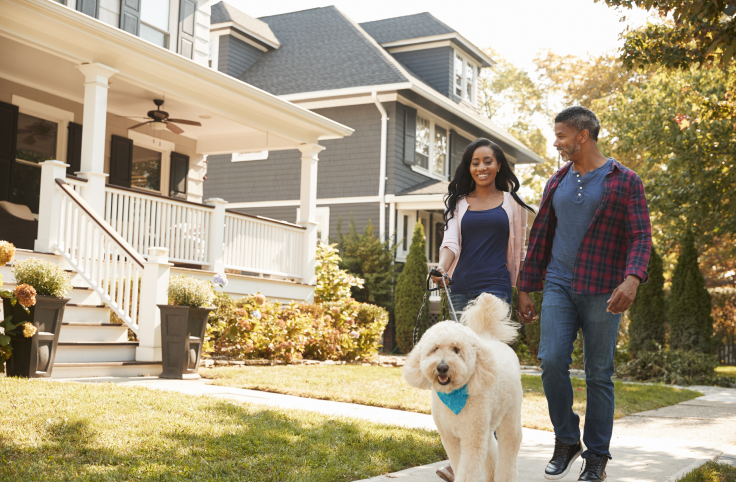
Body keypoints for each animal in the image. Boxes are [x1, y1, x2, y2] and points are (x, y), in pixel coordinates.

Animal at [402, 294, 524, 482]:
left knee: (509, 447)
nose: (442, 367)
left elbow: (468, 470)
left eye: (456, 349)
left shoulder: (472, 438)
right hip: (486, 424)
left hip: (510, 415)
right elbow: (458, 463)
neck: (453, 395)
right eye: (435, 349)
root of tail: (490, 339)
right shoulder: (450, 438)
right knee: (491, 447)